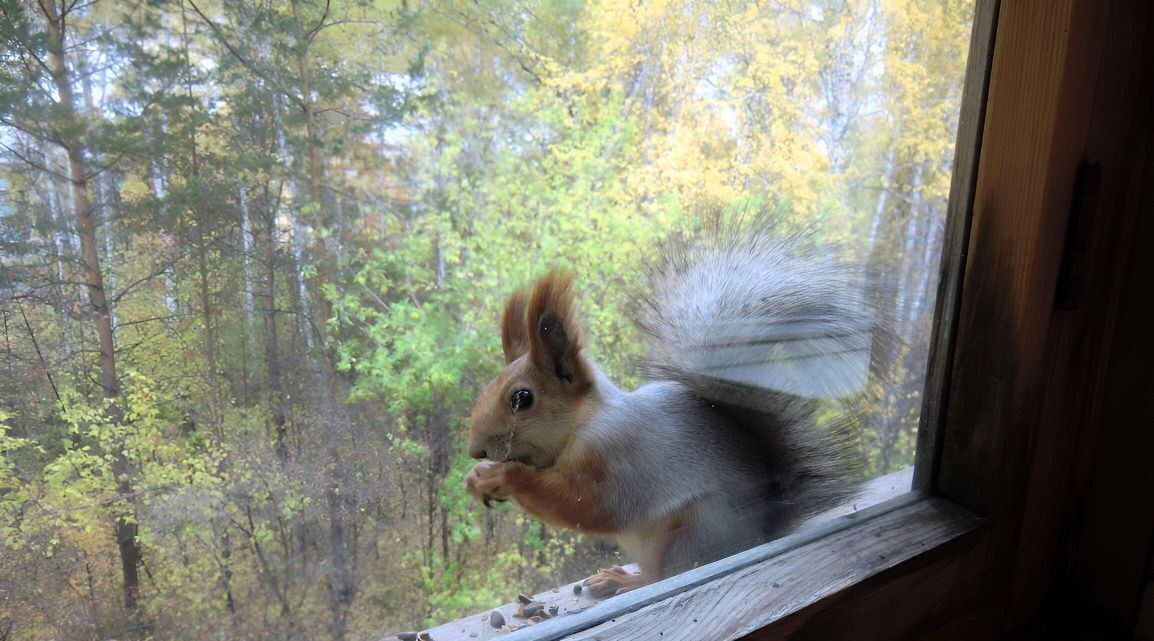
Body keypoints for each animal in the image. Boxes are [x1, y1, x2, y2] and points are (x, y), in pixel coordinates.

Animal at [463, 224, 867, 595]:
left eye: (522, 399)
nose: (475, 450)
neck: (584, 422)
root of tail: (764, 529)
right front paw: (479, 477)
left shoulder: (618, 455)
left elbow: (590, 505)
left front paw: (508, 476)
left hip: (689, 534)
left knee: (664, 576)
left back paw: (629, 581)